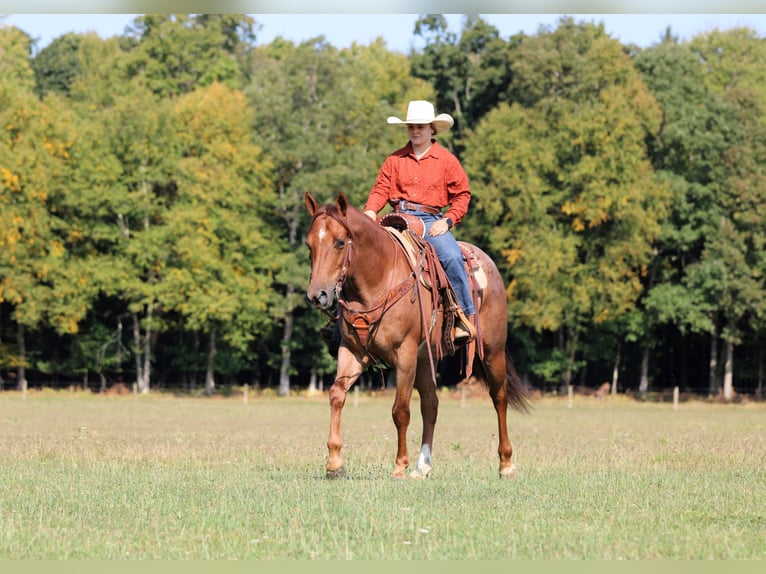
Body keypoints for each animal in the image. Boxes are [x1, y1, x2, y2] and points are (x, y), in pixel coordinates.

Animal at [304, 192, 530, 479]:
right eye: (309, 244)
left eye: (340, 242)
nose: (317, 295)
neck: (378, 279)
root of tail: (487, 262)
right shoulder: (352, 352)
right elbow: (336, 395)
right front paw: (334, 463)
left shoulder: (405, 354)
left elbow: (400, 409)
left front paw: (400, 465)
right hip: (426, 359)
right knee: (431, 405)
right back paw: (423, 466)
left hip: (492, 351)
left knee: (499, 398)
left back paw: (506, 464)